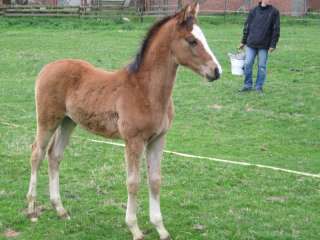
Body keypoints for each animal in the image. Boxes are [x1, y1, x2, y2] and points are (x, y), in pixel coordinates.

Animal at [26, 2, 221, 240]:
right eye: (192, 40)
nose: (216, 71)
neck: (146, 90)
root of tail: (47, 68)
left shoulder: (158, 140)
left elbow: (155, 181)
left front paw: (161, 228)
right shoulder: (134, 140)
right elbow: (133, 182)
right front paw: (135, 228)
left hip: (67, 122)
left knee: (54, 156)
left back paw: (60, 209)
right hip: (48, 119)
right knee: (37, 153)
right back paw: (32, 209)